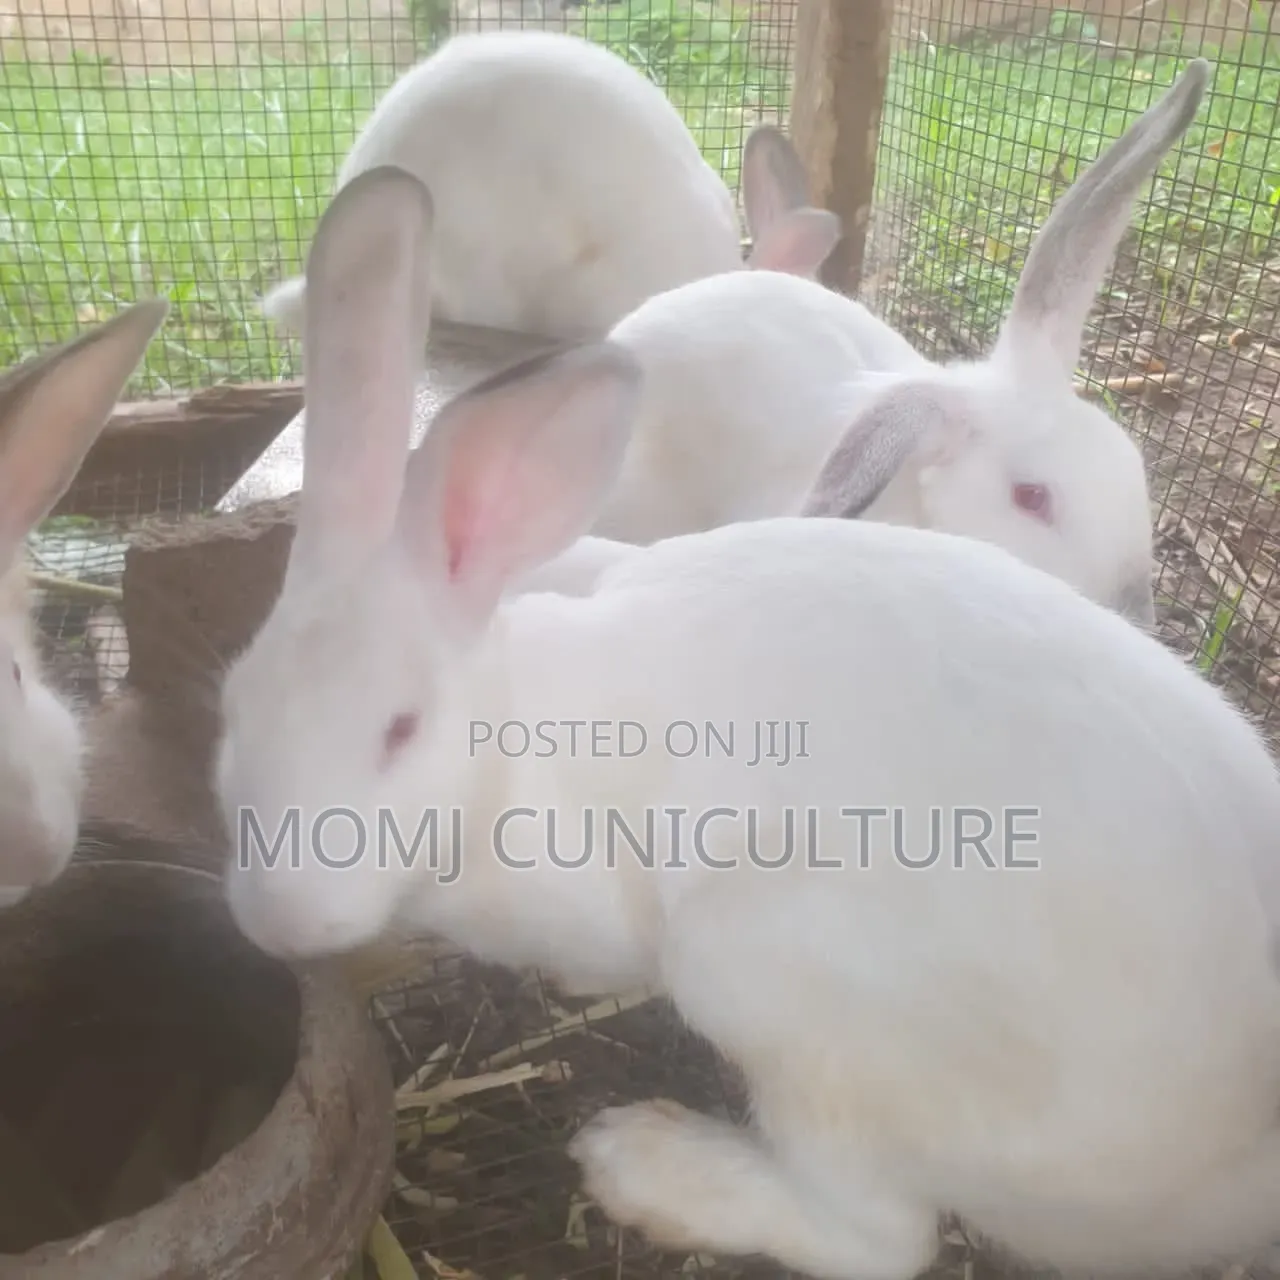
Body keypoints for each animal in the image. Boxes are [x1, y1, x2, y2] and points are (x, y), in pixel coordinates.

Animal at [214, 162, 1280, 1280]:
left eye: (400, 728)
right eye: (231, 710)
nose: (280, 920)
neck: (512, 729)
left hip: (765, 971)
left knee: (875, 1235)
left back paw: (643, 1163)